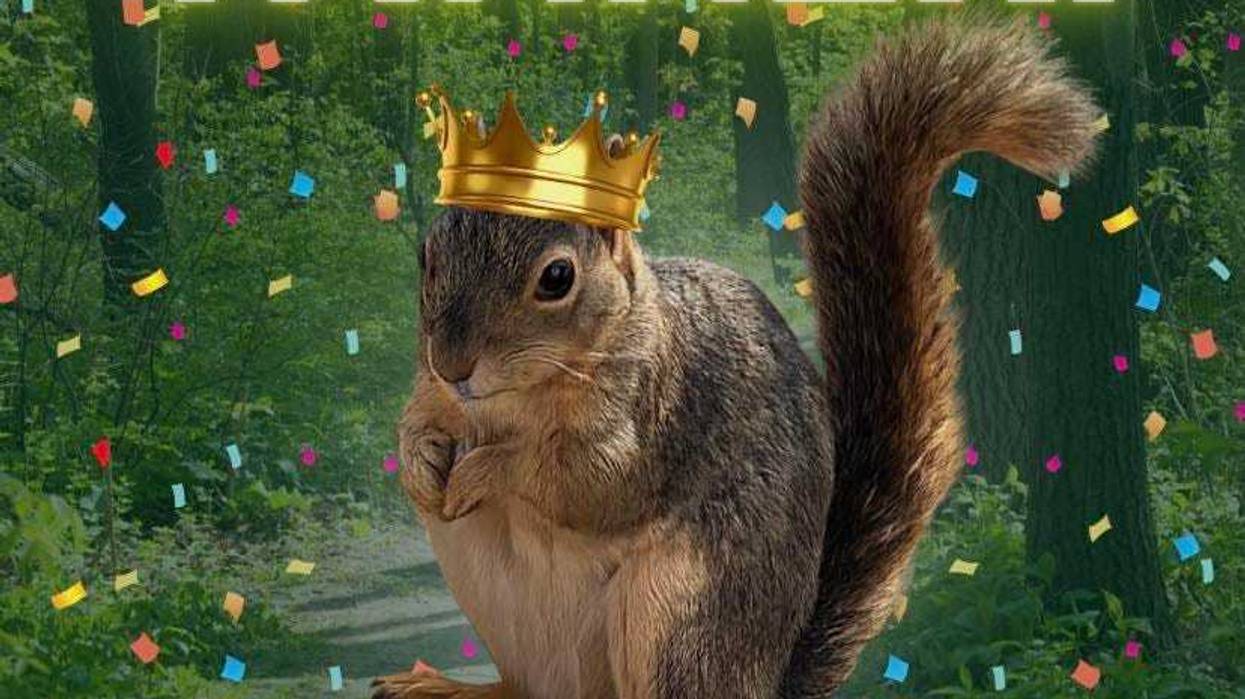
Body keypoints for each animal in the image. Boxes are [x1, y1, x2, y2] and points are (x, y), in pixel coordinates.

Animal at [374, 17, 1100, 699]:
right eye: (427, 255)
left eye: (556, 278)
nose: (453, 364)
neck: (513, 400)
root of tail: (768, 679)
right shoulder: (432, 392)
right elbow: (416, 421)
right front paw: (421, 464)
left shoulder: (656, 416)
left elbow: (586, 481)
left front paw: (483, 470)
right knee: (525, 687)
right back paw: (444, 683)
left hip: (679, 612)